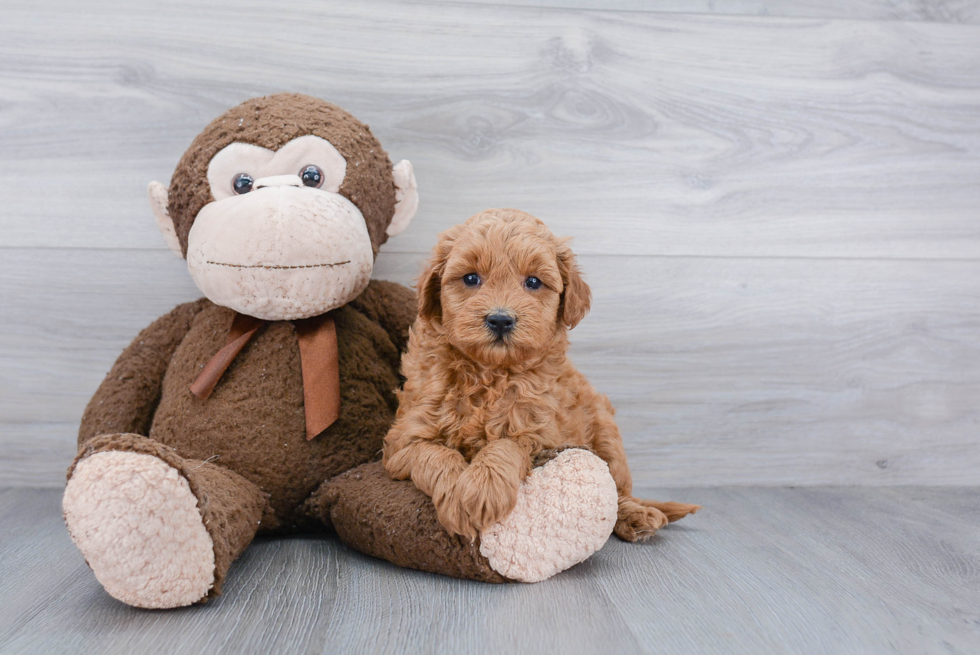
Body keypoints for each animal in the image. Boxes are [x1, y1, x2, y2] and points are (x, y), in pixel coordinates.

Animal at [380, 211, 696, 544]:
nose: (500, 319)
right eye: (470, 278)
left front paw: (482, 489)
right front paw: (457, 495)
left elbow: (504, 447)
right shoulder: (404, 440)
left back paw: (637, 516)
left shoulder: (538, 432)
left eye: (533, 282)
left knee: (616, 488)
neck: (490, 372)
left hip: (607, 433)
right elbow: (435, 455)